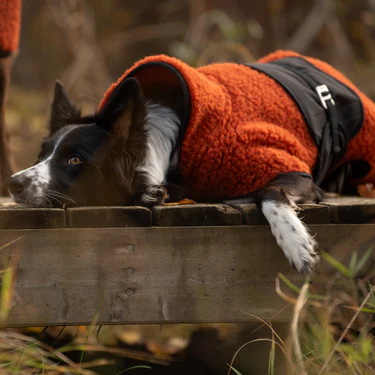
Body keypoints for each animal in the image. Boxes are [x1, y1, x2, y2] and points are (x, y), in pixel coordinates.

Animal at [6, 50, 375, 274]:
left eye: (74, 159)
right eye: (42, 156)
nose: (12, 182)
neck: (172, 149)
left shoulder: (289, 168)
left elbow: (267, 193)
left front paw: (296, 243)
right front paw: (153, 194)